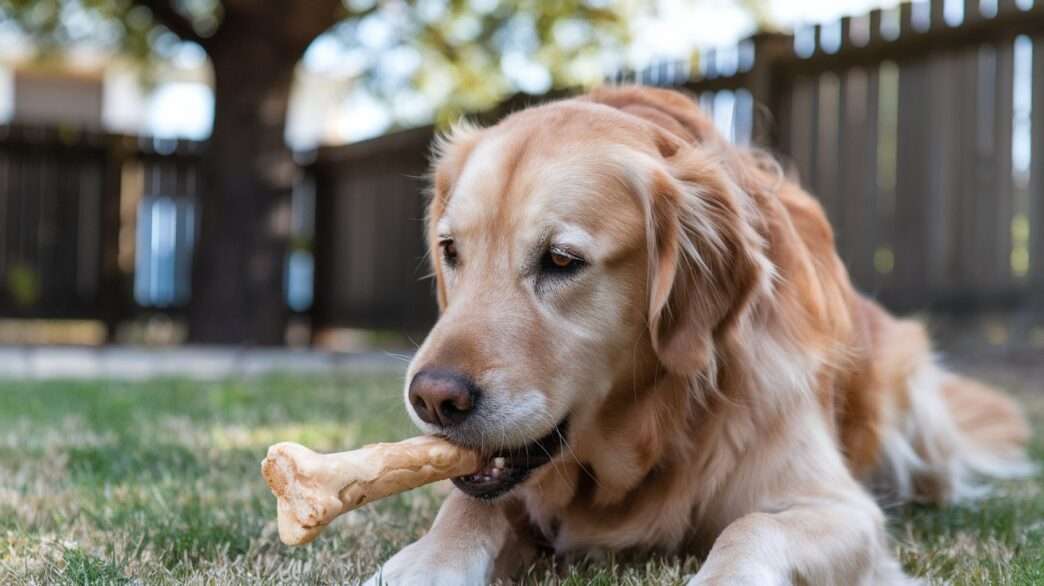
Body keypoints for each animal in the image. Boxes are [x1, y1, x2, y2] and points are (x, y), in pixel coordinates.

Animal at [363, 84, 1031, 580]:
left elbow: (751, 526)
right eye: (451, 250)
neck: (655, 426)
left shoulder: (840, 508)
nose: (432, 398)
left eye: (560, 260)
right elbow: (467, 510)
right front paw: (425, 561)